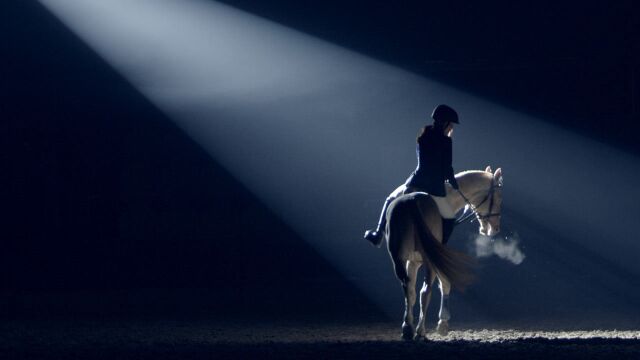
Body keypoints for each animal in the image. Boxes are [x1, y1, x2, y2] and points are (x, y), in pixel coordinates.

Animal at [382, 166, 502, 340]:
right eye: (499, 198)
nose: (495, 229)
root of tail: (412, 202)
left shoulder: (412, 262)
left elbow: (411, 292)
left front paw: (408, 325)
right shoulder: (435, 256)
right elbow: (445, 282)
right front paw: (443, 323)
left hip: (398, 258)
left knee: (408, 288)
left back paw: (408, 329)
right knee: (425, 291)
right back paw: (420, 331)